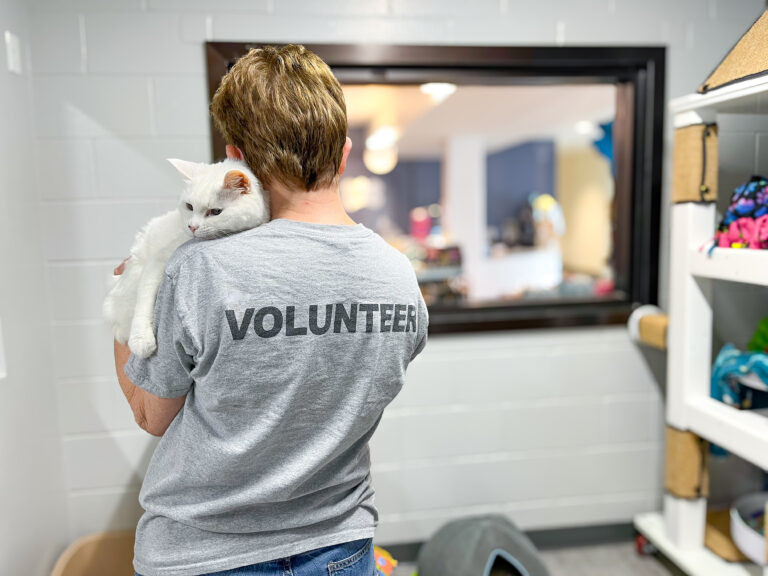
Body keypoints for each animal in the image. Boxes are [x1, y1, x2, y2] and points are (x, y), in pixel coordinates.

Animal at [102, 158, 270, 356]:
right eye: (189, 207)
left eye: (215, 212)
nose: (192, 227)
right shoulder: (157, 261)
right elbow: (144, 300)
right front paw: (141, 339)